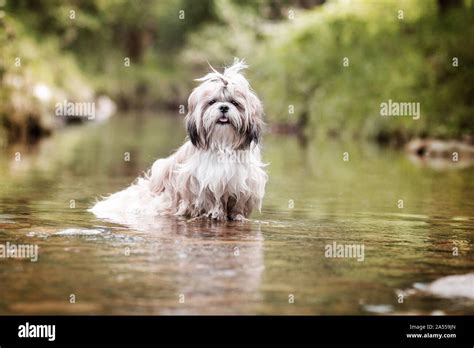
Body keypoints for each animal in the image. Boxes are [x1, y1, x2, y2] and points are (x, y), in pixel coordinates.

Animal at [89, 57, 266, 220]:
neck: (222, 144)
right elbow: (209, 200)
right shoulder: (199, 182)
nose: (223, 107)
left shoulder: (245, 184)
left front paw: (236, 217)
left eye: (235, 103)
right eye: (212, 102)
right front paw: (215, 213)